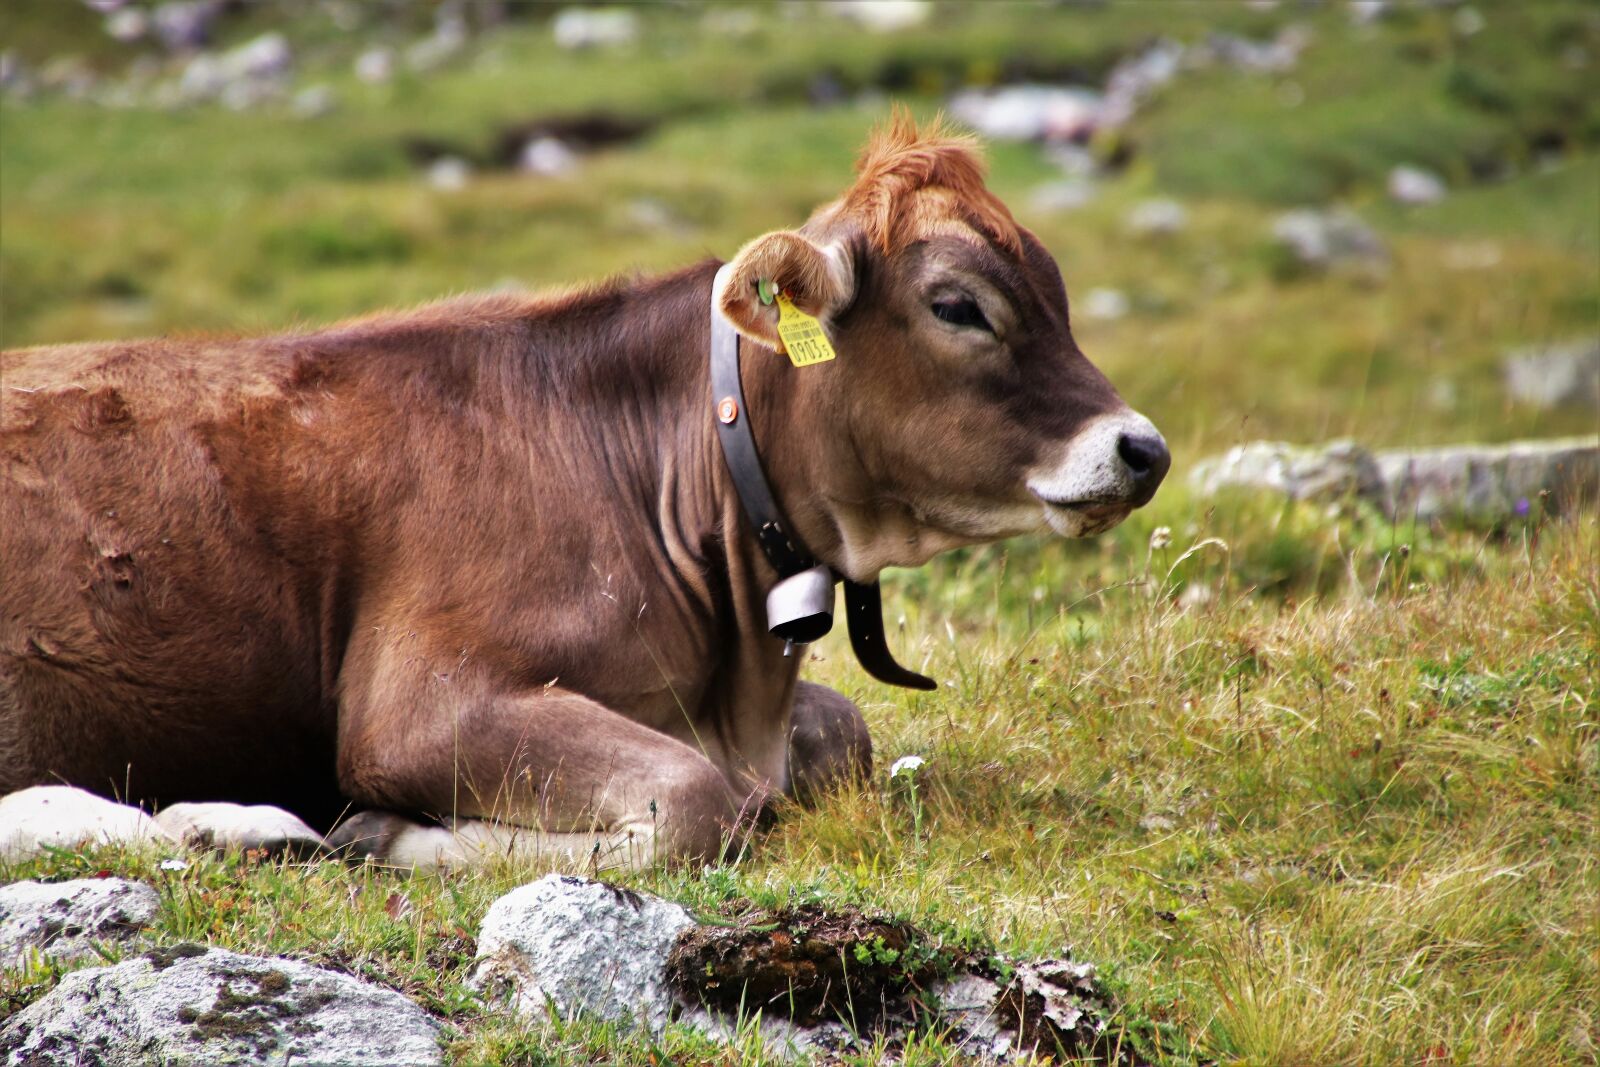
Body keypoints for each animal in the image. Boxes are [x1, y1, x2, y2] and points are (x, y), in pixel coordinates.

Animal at [0, 111, 1168, 869]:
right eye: (958, 305)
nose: (1142, 447)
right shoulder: (419, 700)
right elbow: (699, 804)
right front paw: (381, 827)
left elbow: (842, 735)